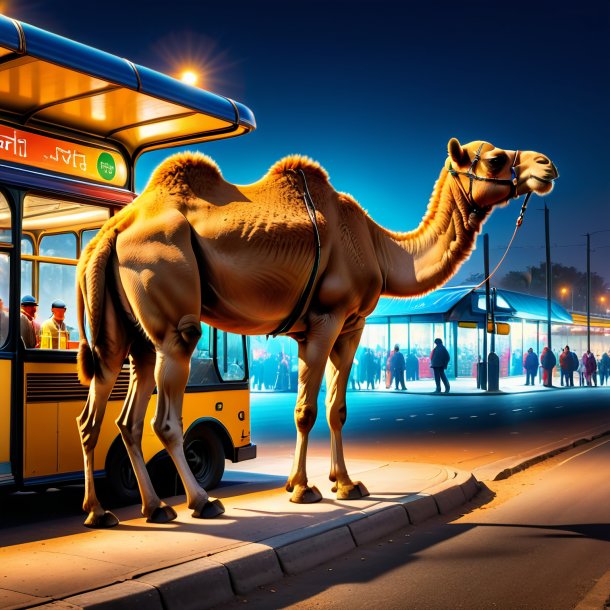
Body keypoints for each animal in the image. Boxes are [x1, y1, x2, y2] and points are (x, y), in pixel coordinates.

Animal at [76, 137, 556, 524]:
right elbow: (306, 410)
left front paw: (344, 484)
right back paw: (199, 502)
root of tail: (113, 227)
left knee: (109, 413)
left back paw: (125, 510)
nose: (546, 165)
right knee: (165, 412)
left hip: (127, 332)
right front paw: (303, 490)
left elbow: (336, 409)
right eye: (495, 158)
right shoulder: (327, 319)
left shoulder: (350, 328)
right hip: (170, 303)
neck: (379, 247)